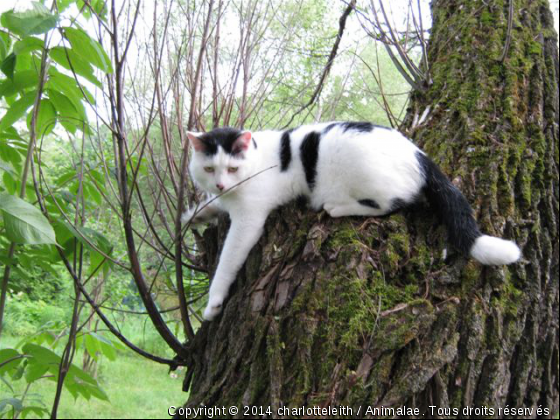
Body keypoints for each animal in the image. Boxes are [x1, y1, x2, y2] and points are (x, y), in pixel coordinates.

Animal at [183, 123, 520, 320]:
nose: (221, 184)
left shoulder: (248, 220)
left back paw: (336, 207)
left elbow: (227, 262)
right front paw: (196, 214)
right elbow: (211, 204)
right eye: (210, 169)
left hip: (364, 175)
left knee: (394, 204)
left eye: (233, 168)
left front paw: (213, 303)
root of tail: (420, 155)